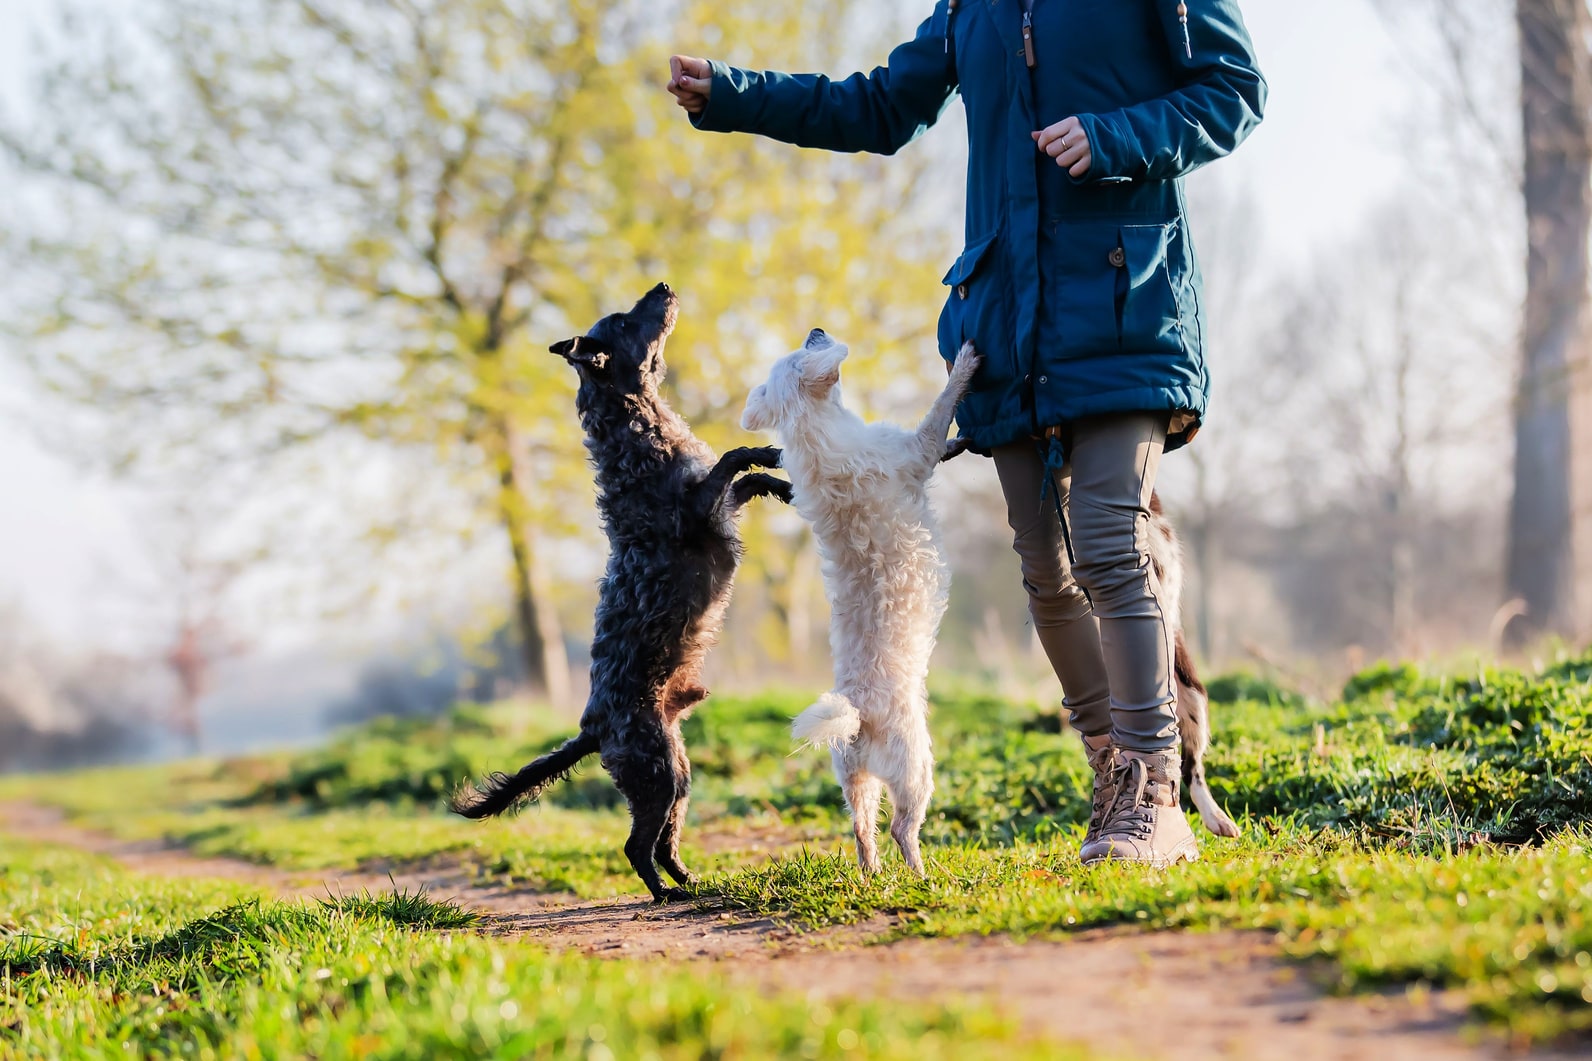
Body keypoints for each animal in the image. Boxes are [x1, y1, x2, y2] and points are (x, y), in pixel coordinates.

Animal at [452, 283, 786, 898]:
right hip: (655, 772)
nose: (663, 286)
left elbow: (746, 478)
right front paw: (768, 455)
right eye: (626, 321)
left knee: (664, 842)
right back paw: (664, 894)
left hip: (676, 775)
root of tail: (593, 727)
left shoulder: (719, 507)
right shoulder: (694, 516)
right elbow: (730, 461)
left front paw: (783, 477)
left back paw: (692, 884)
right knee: (636, 845)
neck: (640, 426)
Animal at [745, 334, 980, 873]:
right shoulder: (915, 450)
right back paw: (921, 875)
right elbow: (940, 413)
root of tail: (857, 718)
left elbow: (944, 438)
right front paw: (964, 366)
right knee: (901, 827)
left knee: (861, 830)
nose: (815, 328)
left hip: (855, 779)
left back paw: (873, 875)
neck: (815, 433)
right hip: (916, 769)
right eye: (807, 349)